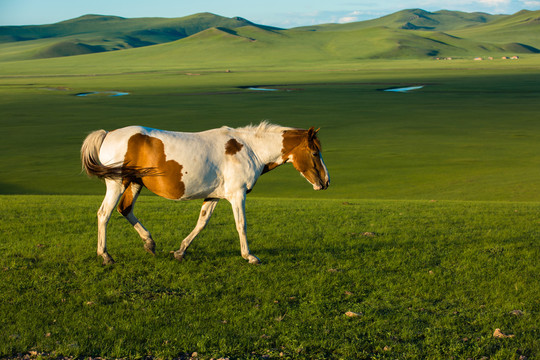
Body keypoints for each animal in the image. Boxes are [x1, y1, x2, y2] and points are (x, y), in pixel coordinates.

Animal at [80, 121, 330, 264]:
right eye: (314, 153)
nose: (326, 182)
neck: (250, 150)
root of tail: (108, 134)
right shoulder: (237, 195)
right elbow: (241, 224)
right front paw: (249, 256)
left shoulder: (214, 196)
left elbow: (201, 223)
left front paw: (180, 251)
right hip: (117, 183)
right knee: (104, 214)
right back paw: (105, 255)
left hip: (134, 183)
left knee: (125, 209)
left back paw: (149, 244)